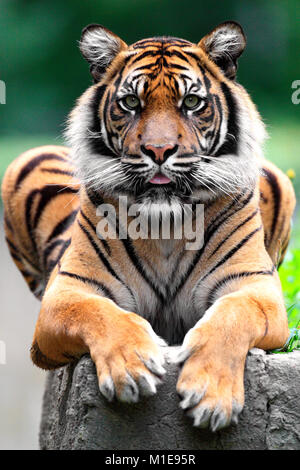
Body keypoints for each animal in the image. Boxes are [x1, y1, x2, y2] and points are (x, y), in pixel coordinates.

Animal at [1, 23, 296, 434]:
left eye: (192, 102)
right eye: (130, 103)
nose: (159, 150)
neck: (166, 225)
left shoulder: (255, 288)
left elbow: (232, 316)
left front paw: (211, 398)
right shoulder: (66, 293)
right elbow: (98, 313)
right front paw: (132, 368)